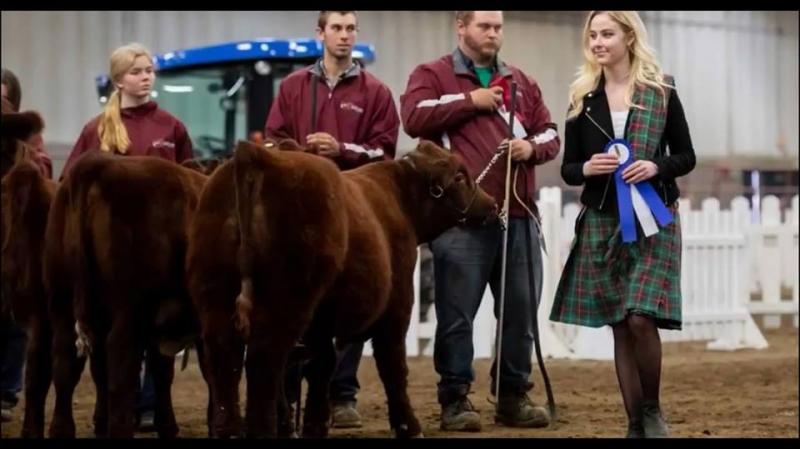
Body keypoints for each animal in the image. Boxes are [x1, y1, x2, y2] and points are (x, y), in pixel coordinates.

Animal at [186, 139, 497, 438]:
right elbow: (393, 367)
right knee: (263, 363)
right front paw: (409, 427)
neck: (400, 198)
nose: (492, 204)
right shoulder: (396, 307)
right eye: (459, 176)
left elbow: (322, 367)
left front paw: (315, 426)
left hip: (215, 300)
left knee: (224, 362)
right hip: (285, 304)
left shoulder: (322, 322)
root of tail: (256, 155)